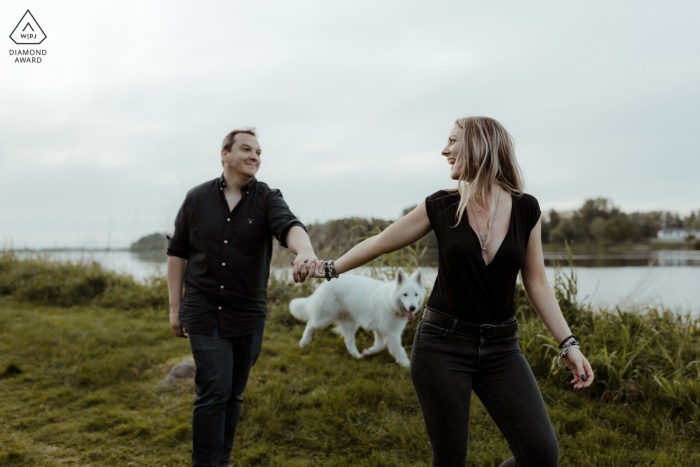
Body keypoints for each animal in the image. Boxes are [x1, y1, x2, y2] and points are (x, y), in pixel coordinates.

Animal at [288, 268, 424, 368]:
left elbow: (380, 345)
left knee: (348, 340)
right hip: (323, 318)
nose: (412, 308)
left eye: (416, 294)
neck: (390, 301)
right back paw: (304, 342)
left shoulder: (381, 331)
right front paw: (406, 365)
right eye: (405, 294)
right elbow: (399, 350)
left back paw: (357, 355)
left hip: (350, 324)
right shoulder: (392, 334)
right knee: (310, 324)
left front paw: (368, 352)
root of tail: (323, 285)